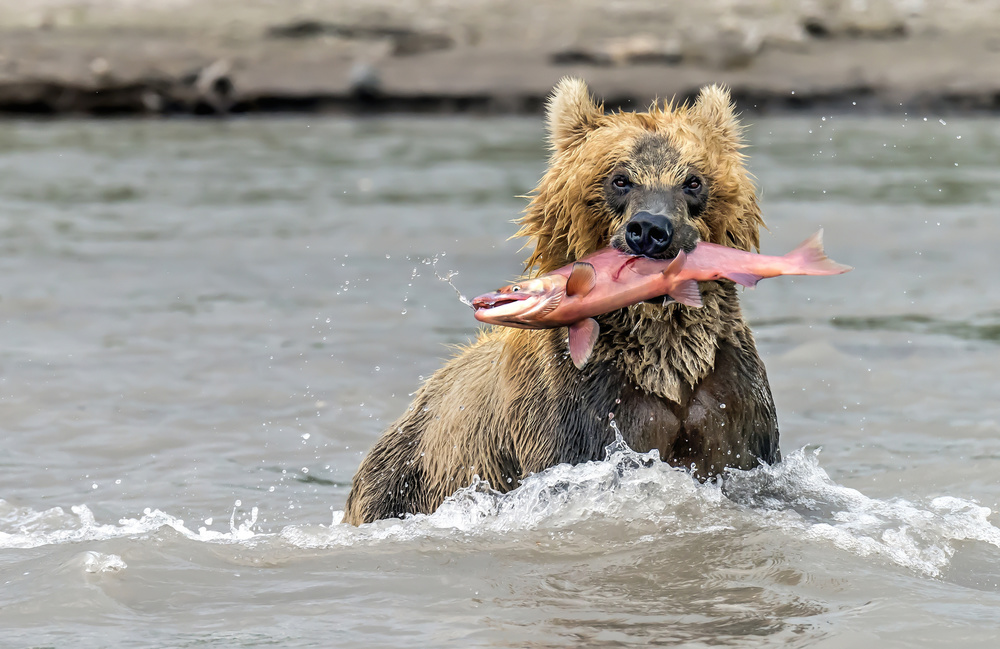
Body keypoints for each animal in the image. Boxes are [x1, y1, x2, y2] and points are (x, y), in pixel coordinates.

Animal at [344, 78, 780, 524]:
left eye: (693, 180)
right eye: (620, 179)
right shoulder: (575, 411)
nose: (650, 229)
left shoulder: (731, 403)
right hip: (401, 483)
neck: (665, 364)